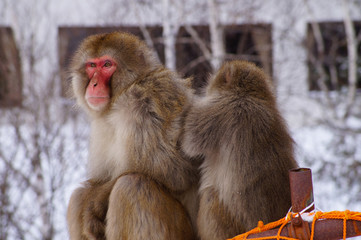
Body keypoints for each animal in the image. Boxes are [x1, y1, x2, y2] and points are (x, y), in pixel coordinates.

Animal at [65, 32, 198, 240]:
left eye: (107, 64)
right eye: (92, 65)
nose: (93, 84)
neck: (122, 94)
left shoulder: (144, 105)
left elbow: (175, 172)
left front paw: (95, 204)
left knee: (132, 185)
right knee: (79, 197)